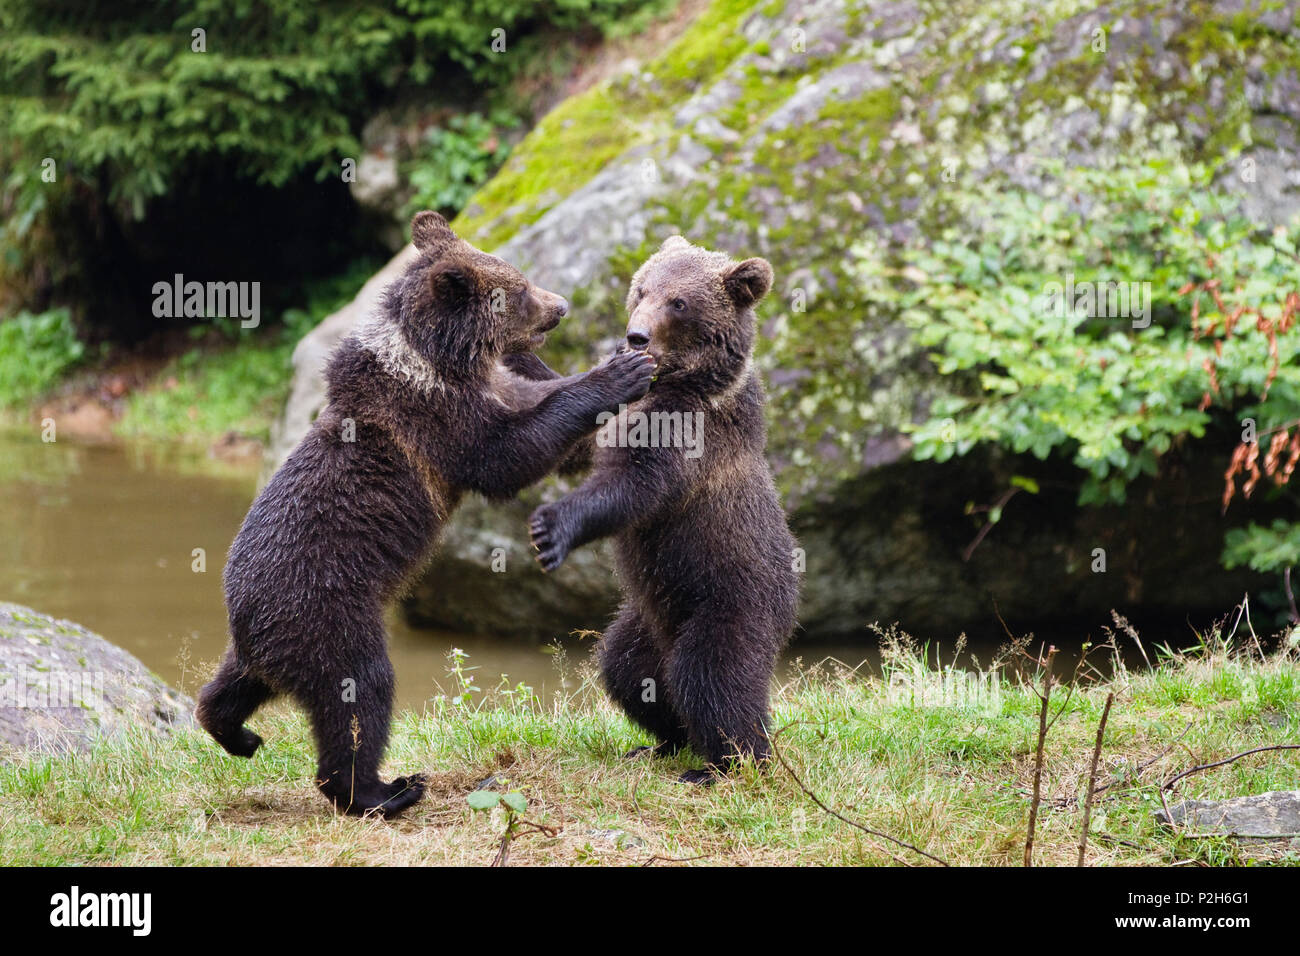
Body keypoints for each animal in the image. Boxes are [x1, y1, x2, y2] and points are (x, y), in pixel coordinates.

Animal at [196, 213, 655, 816]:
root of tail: (250, 621)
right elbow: (508, 454)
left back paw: (238, 733)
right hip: (328, 610)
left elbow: (547, 419)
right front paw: (620, 373)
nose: (560, 305)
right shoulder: (441, 424)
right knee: (359, 691)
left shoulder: (488, 392)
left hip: (268, 638)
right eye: (518, 290)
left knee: (233, 683)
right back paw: (385, 789)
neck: (442, 362)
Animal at [530, 235, 800, 780]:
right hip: (649, 613)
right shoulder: (622, 416)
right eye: (641, 289)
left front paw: (552, 527)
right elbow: (574, 438)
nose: (636, 337)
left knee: (712, 675)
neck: (683, 380)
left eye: (679, 302)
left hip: (728, 599)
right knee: (627, 667)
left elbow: (635, 484)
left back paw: (727, 763)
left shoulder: (690, 432)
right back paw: (662, 742)